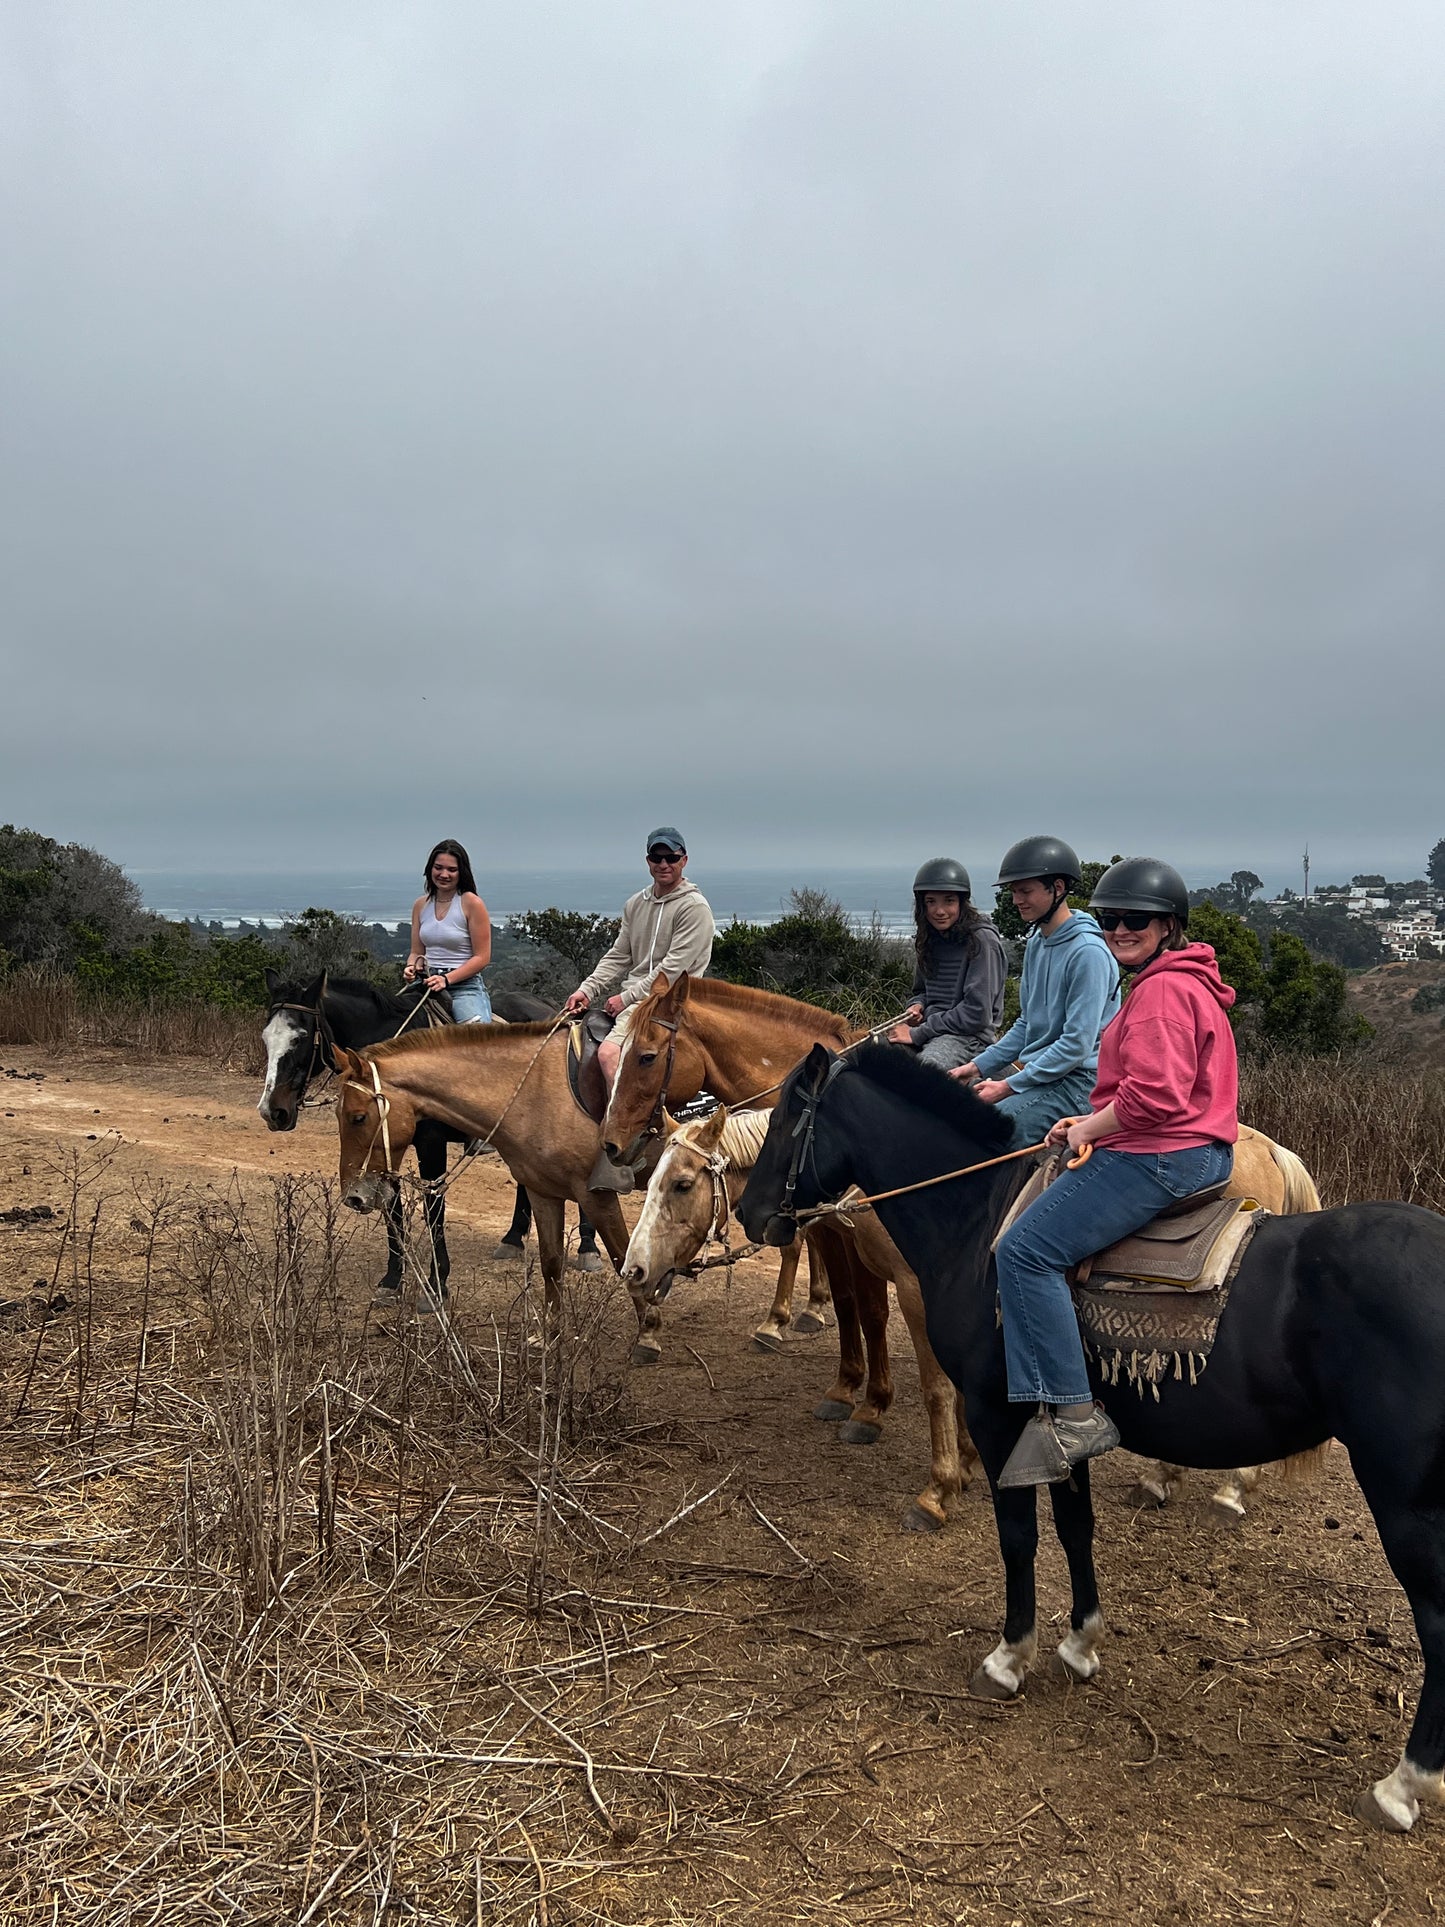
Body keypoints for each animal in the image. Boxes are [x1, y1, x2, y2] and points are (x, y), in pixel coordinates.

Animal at [739, 1055, 1445, 1834]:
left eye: (785, 1120)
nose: (748, 1214)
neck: (978, 1222)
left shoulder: (998, 1415)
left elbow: (1019, 1536)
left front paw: (1008, 1656)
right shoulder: (1058, 1426)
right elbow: (1076, 1528)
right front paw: (1079, 1642)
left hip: (1407, 1500)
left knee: (1439, 1621)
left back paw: (1404, 1784)